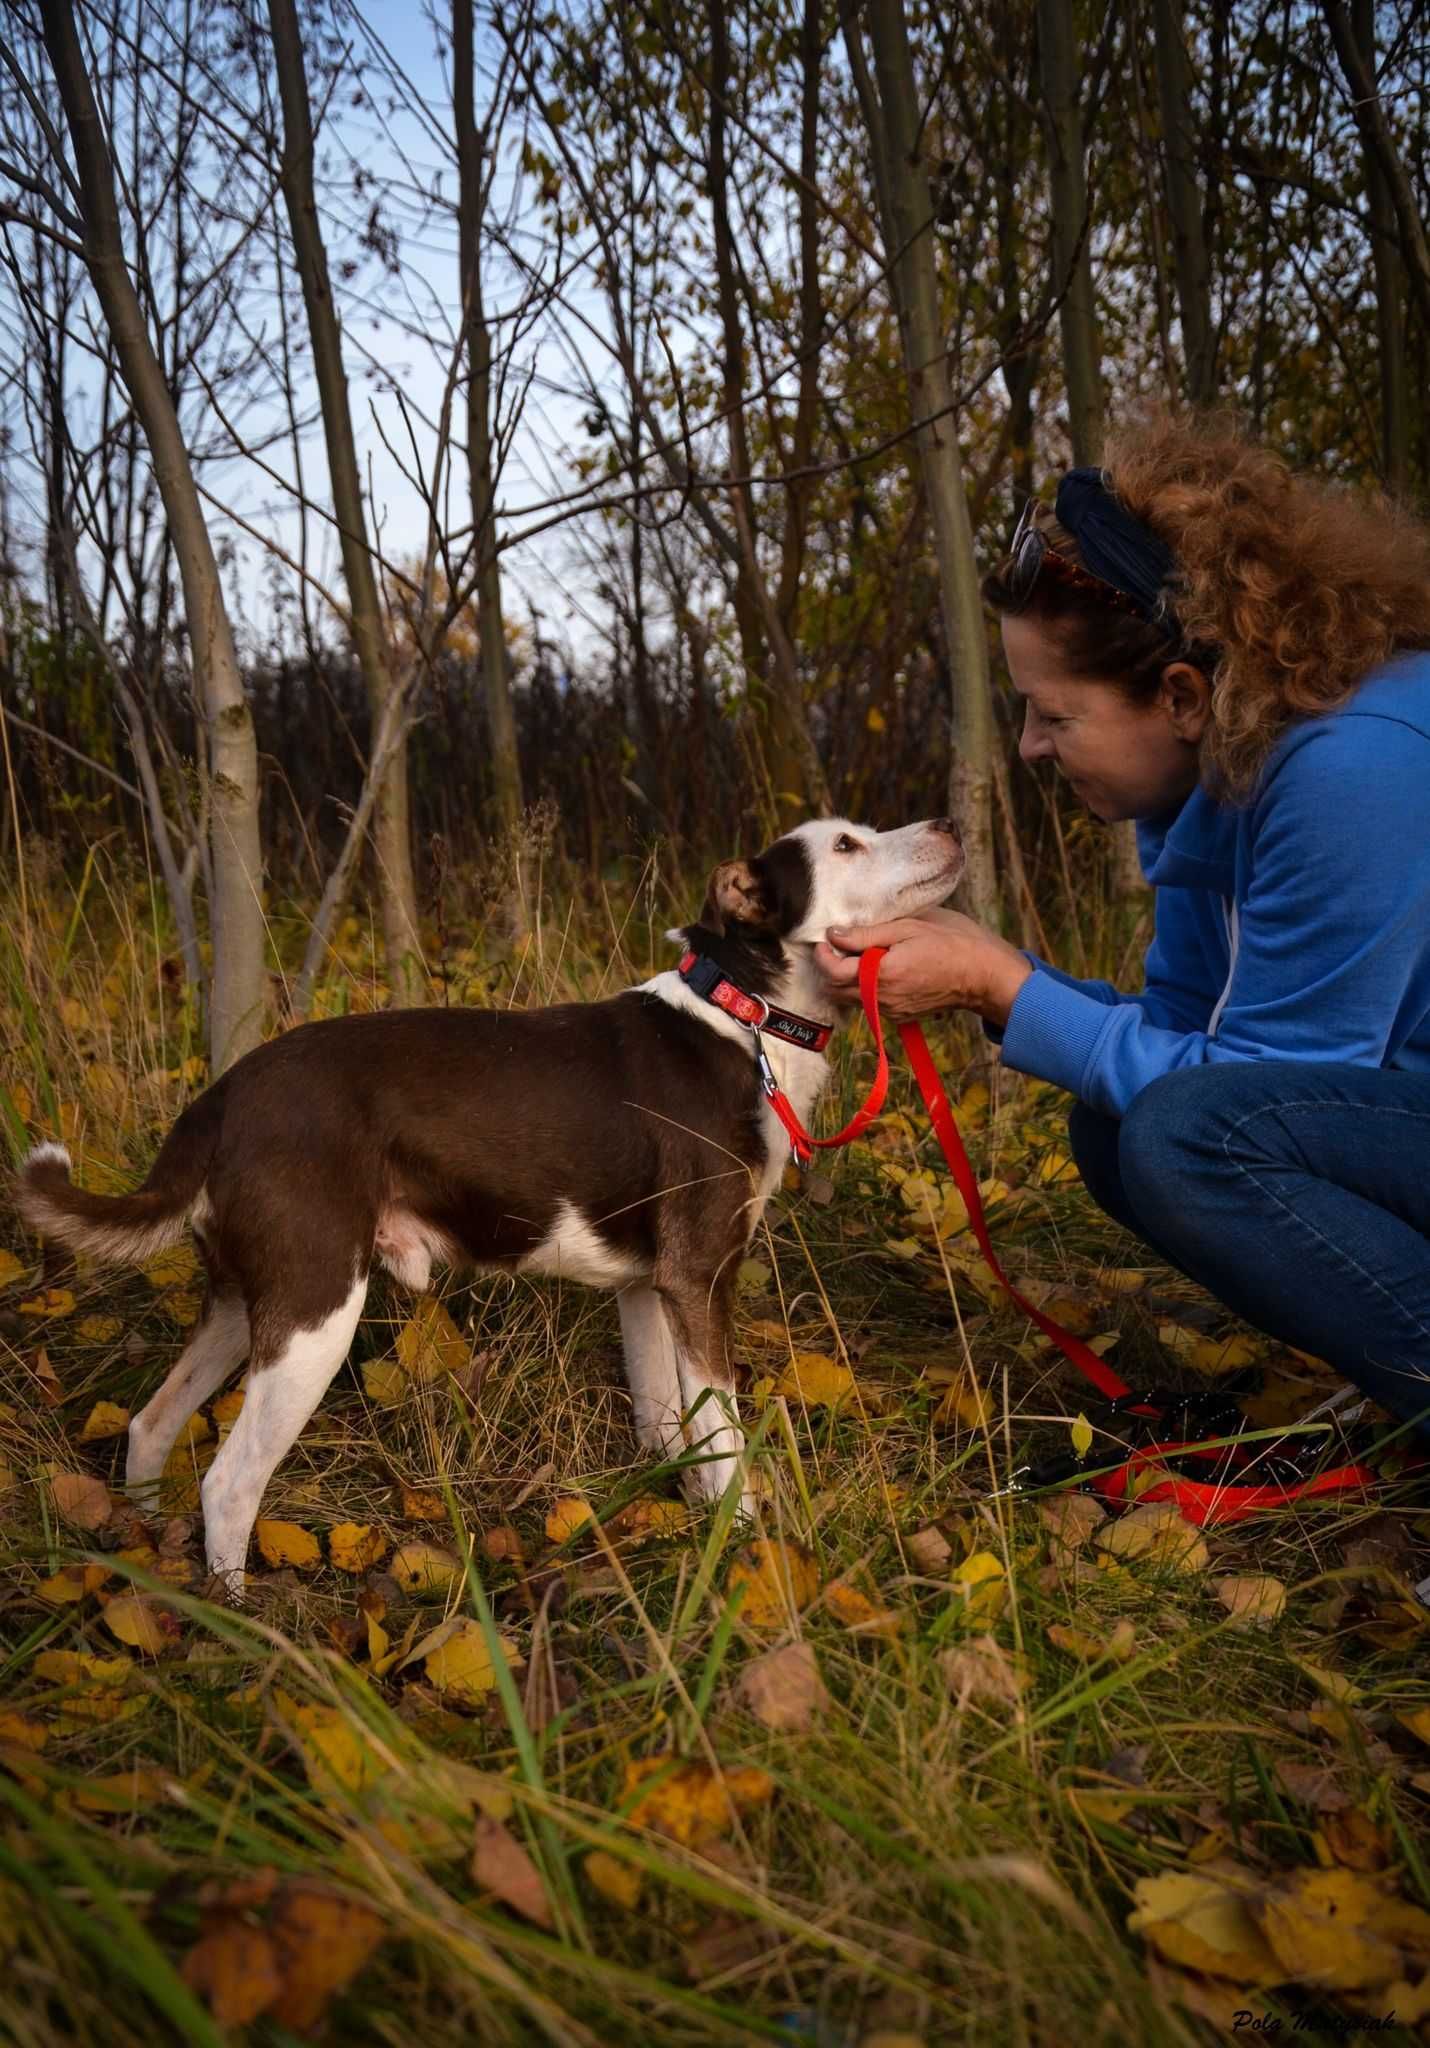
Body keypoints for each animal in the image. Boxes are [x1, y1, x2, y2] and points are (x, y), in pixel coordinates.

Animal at [13, 811, 958, 1581]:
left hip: (248, 1301)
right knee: (228, 1482)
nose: (951, 823)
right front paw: (746, 1557)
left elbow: (670, 1434)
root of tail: (221, 1098)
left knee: (150, 1425)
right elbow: (724, 1448)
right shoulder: (697, 1281)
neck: (745, 1016)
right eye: (846, 844)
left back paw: (151, 1555)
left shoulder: (647, 1290)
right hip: (316, 1311)